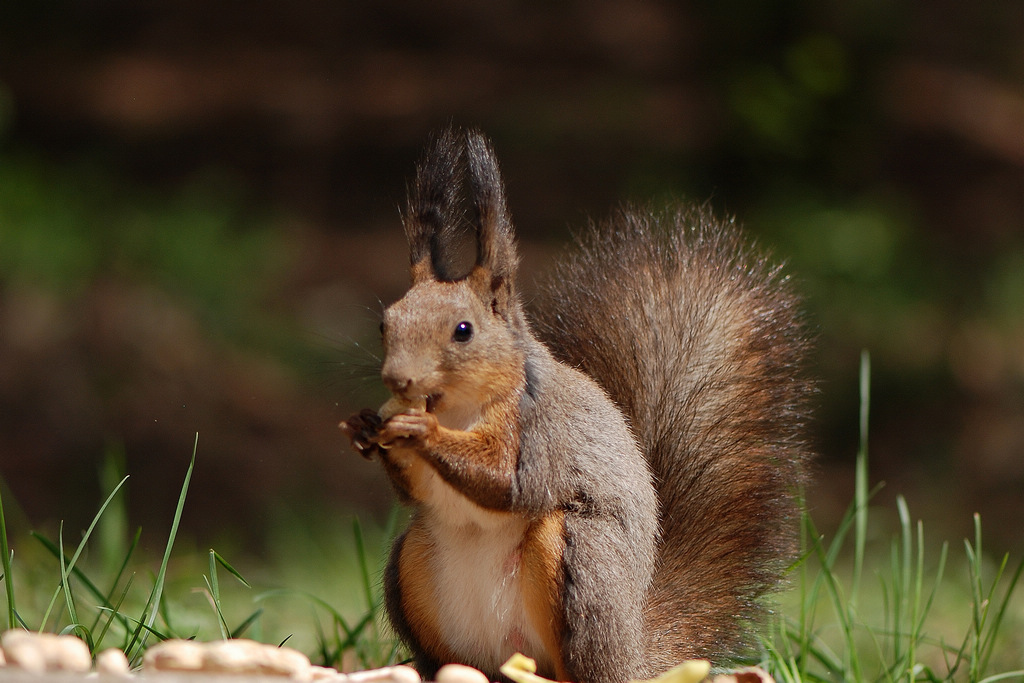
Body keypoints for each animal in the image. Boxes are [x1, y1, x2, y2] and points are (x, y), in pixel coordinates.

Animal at [339, 127, 811, 683]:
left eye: (463, 330)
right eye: (385, 322)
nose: (398, 378)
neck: (457, 408)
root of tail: (633, 651)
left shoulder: (540, 430)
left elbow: (512, 484)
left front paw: (422, 432)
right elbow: (413, 490)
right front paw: (365, 425)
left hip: (578, 563)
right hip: (411, 563)